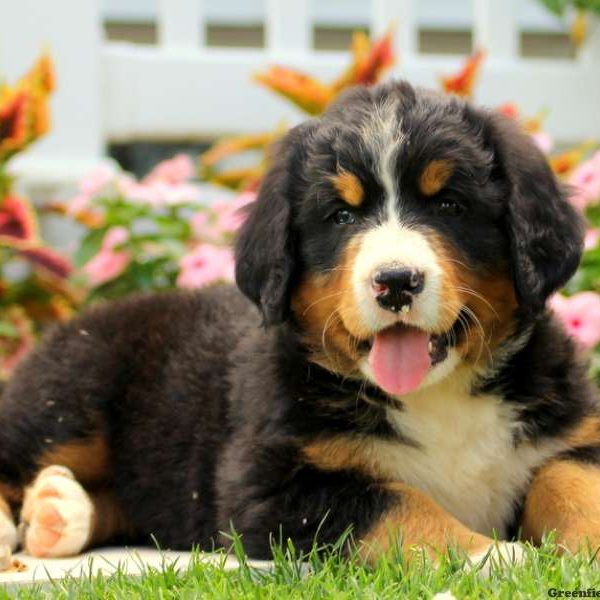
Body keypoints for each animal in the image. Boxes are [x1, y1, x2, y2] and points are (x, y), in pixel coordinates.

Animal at [0, 81, 596, 568]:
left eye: (449, 205)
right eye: (341, 216)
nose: (395, 281)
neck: (436, 398)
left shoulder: (576, 434)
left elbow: (569, 481)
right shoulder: (273, 485)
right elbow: (397, 504)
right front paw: (491, 558)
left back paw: (59, 512)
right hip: (72, 396)